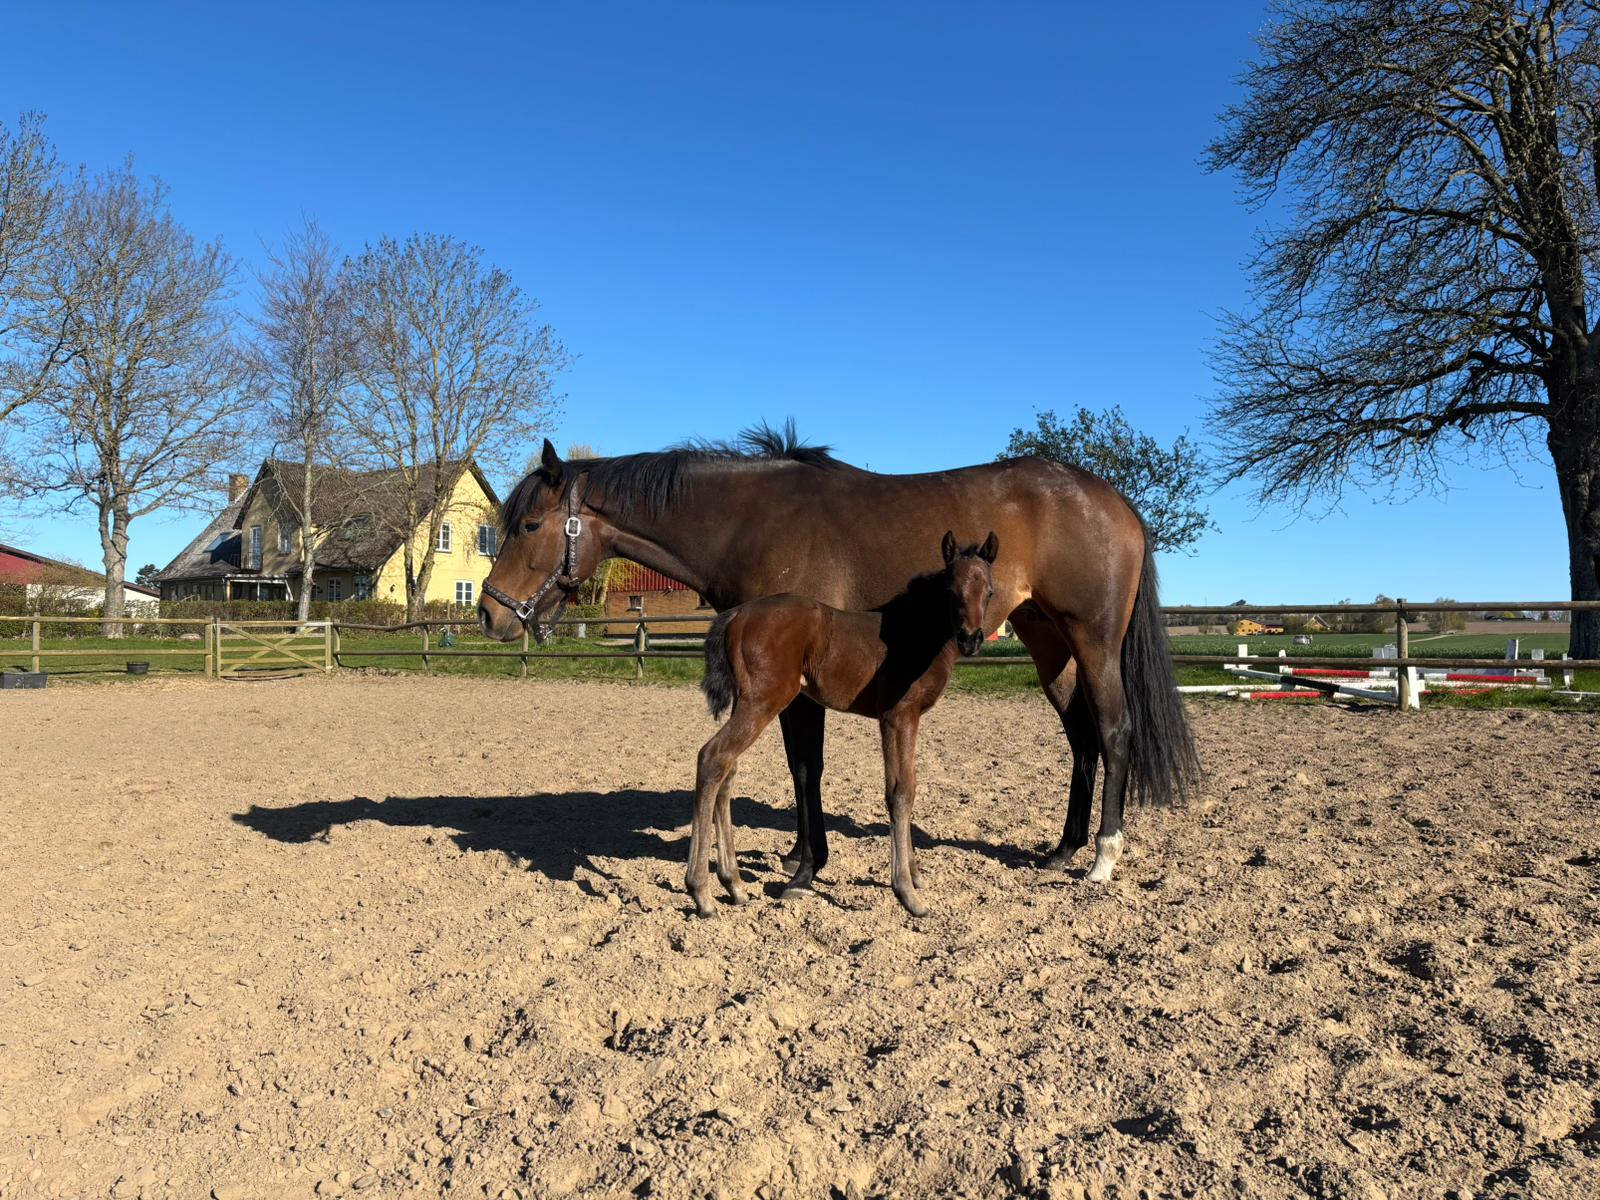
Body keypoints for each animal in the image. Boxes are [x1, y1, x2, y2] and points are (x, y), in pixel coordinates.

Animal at [687, 531, 998, 918]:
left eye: (989, 591)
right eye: (950, 590)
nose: (971, 638)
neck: (916, 632)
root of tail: (738, 614)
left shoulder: (906, 719)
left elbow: (908, 787)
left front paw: (914, 874)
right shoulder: (898, 715)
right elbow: (900, 791)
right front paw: (907, 892)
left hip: (748, 702)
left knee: (726, 771)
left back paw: (734, 884)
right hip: (762, 701)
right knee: (712, 757)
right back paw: (701, 892)